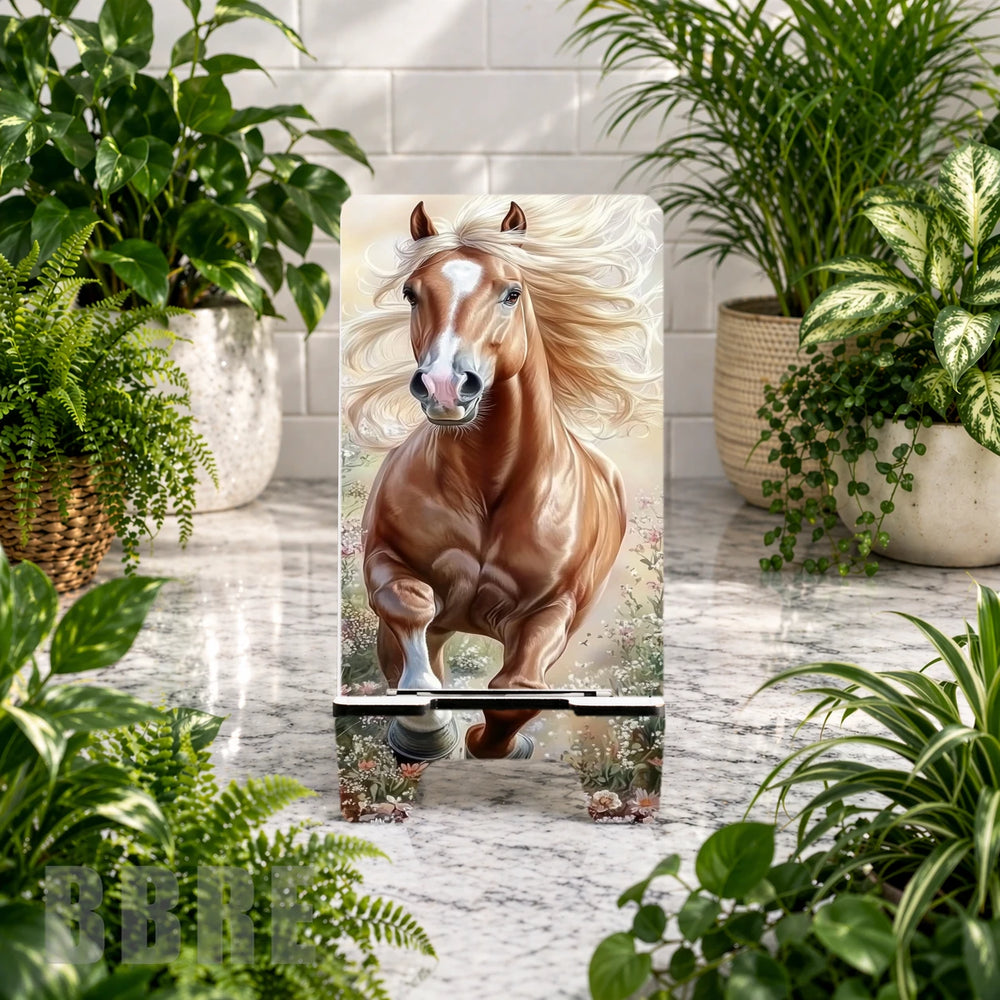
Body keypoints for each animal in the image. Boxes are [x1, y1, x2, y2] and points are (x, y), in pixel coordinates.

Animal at [344, 196, 660, 760]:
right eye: (411, 293)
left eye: (512, 293)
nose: (445, 386)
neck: (487, 488)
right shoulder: (384, 560)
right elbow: (410, 609)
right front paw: (426, 729)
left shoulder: (550, 612)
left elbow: (515, 694)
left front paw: (492, 745)